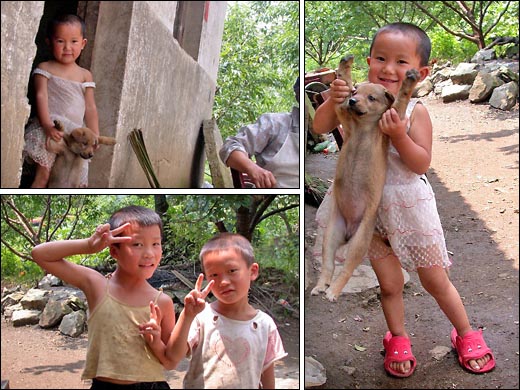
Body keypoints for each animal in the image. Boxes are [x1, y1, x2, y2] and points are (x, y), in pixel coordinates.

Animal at [310, 54, 420, 302]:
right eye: (355, 93)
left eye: (371, 97)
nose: (353, 101)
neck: (363, 128)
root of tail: (350, 231)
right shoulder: (342, 113)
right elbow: (342, 81)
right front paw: (345, 65)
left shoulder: (393, 118)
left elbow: (401, 98)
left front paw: (409, 81)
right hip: (330, 237)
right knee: (328, 266)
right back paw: (322, 287)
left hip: (358, 244)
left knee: (346, 270)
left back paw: (332, 291)